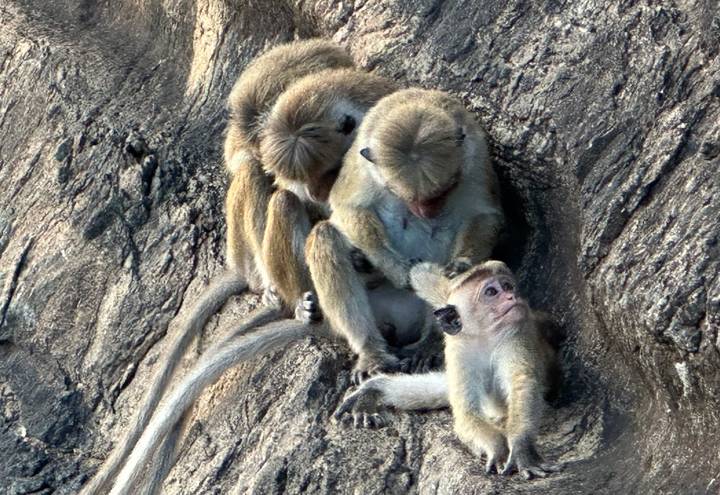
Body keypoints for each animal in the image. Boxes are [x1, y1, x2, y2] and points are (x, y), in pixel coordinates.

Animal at [305, 88, 504, 381]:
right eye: (412, 198)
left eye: (442, 191)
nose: (427, 211)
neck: (414, 104)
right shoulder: (361, 163)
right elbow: (348, 206)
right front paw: (396, 268)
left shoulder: (476, 156)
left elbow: (484, 215)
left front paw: (461, 265)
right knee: (324, 236)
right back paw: (372, 351)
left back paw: (432, 340)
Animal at [334, 260, 563, 480]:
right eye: (491, 292)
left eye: (507, 286)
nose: (512, 296)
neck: (485, 337)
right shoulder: (457, 349)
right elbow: (466, 412)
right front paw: (498, 448)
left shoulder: (517, 333)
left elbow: (522, 386)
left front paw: (522, 449)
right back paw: (377, 388)